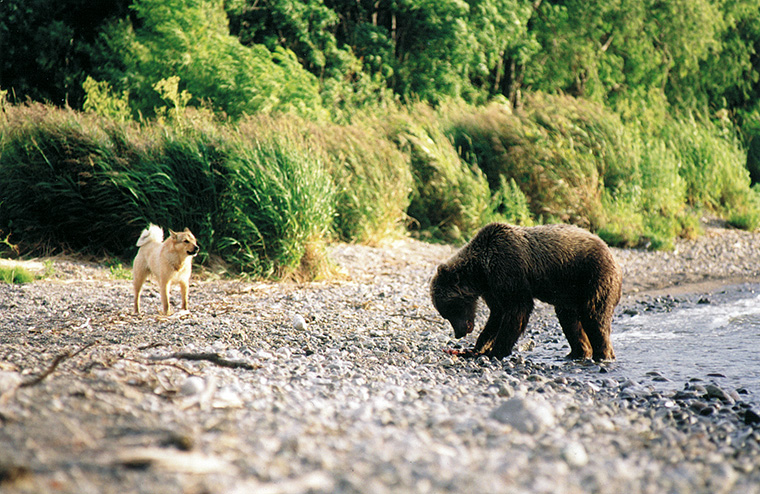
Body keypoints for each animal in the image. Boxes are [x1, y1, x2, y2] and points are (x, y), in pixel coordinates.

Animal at [430, 223, 620, 358]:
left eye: (450, 309)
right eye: (445, 314)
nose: (459, 333)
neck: (480, 272)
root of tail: (611, 253)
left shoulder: (508, 268)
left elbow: (517, 308)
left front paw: (496, 350)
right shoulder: (492, 287)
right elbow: (497, 314)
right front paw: (477, 347)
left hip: (593, 277)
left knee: (595, 317)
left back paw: (603, 355)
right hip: (569, 293)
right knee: (569, 320)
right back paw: (577, 352)